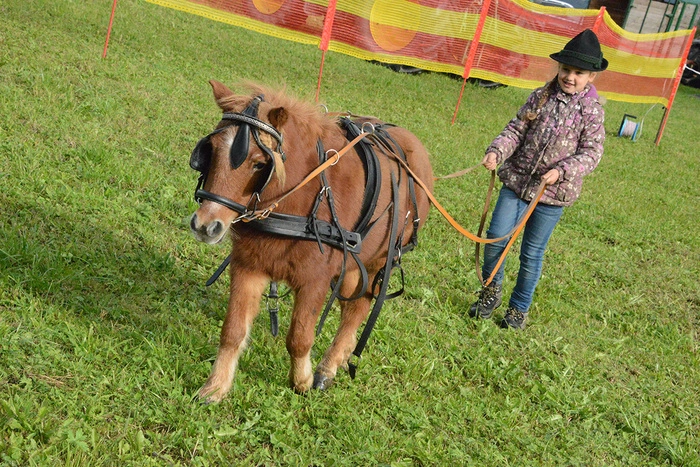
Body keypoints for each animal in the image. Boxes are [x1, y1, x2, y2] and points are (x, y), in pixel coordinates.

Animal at [188, 80, 433, 403]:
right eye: (212, 150)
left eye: (258, 164)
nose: (206, 225)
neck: (301, 199)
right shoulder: (247, 266)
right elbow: (233, 331)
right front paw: (215, 387)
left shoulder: (315, 279)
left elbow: (300, 337)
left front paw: (301, 381)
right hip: (353, 266)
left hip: (379, 260)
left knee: (358, 309)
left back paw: (328, 367)